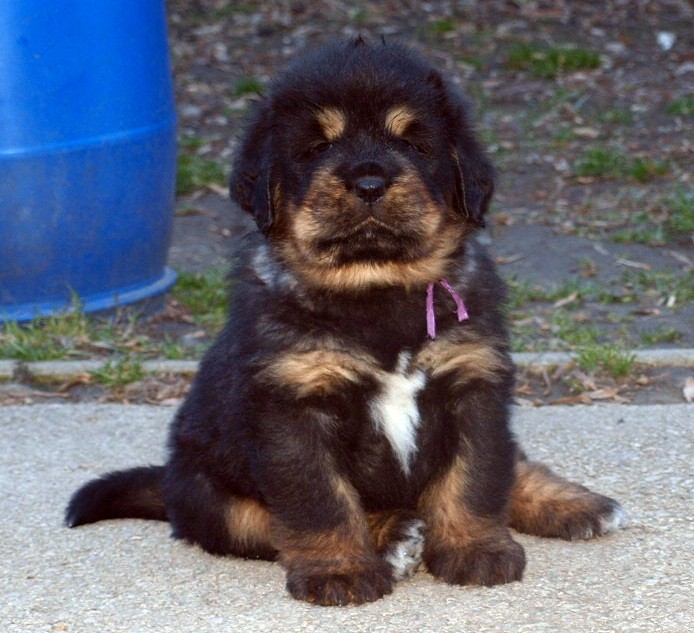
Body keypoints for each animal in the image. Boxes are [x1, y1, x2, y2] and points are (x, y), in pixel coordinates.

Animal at [66, 39, 626, 606]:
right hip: (210, 496)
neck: (376, 289)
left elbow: (475, 478)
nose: (369, 182)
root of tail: (167, 481)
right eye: (316, 147)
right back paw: (395, 535)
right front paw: (340, 571)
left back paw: (574, 504)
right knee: (265, 523)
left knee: (514, 464)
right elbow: (321, 502)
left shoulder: (474, 384)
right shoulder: (294, 404)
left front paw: (477, 549)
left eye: (413, 143)